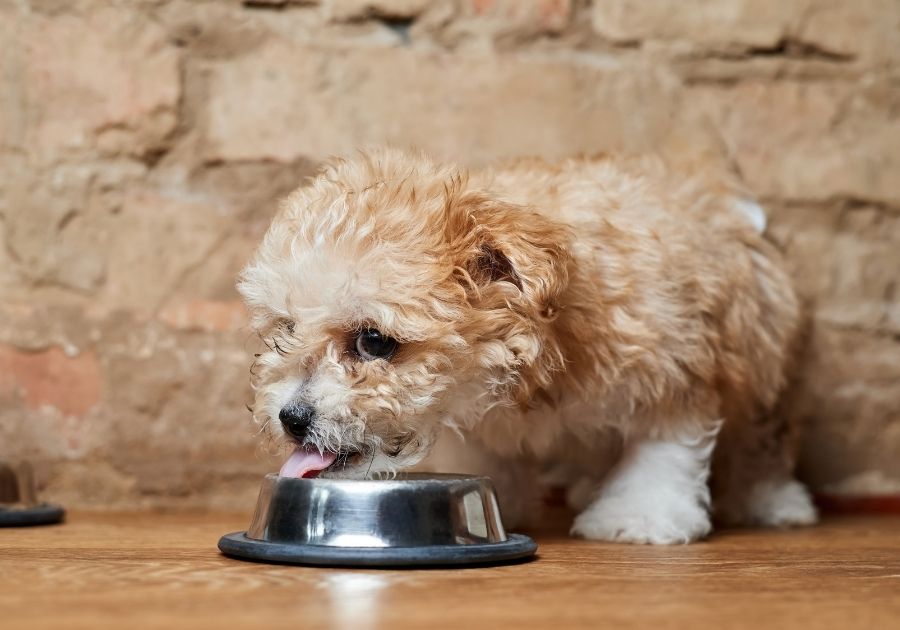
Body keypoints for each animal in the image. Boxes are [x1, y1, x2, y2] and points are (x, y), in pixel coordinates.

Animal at [237, 147, 816, 544]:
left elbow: (662, 451)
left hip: (765, 361)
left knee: (762, 438)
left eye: (375, 341)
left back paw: (776, 501)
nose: (291, 417)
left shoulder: (675, 370)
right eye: (286, 328)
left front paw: (640, 516)